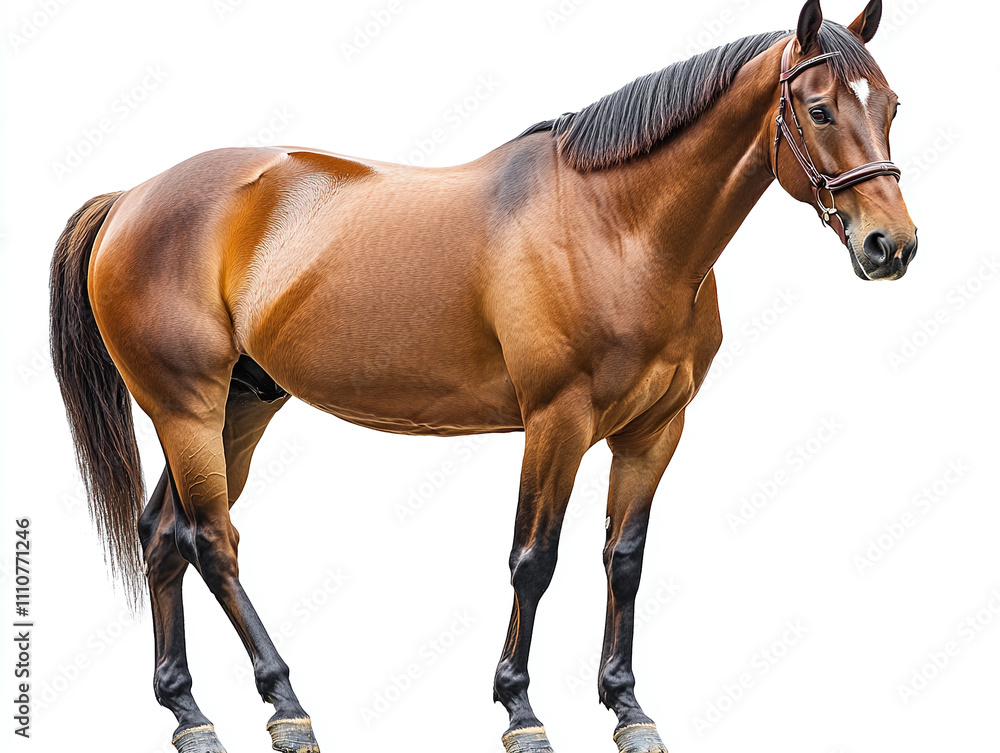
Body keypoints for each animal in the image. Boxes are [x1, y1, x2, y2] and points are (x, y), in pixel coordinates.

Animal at [49, 1, 916, 751]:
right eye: (818, 109)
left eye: (892, 105)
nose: (891, 245)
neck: (617, 225)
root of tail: (132, 198)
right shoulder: (557, 419)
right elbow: (534, 558)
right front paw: (520, 709)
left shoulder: (653, 429)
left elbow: (625, 558)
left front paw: (628, 707)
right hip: (185, 407)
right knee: (211, 539)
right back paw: (286, 704)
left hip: (239, 406)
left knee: (165, 534)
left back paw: (189, 712)